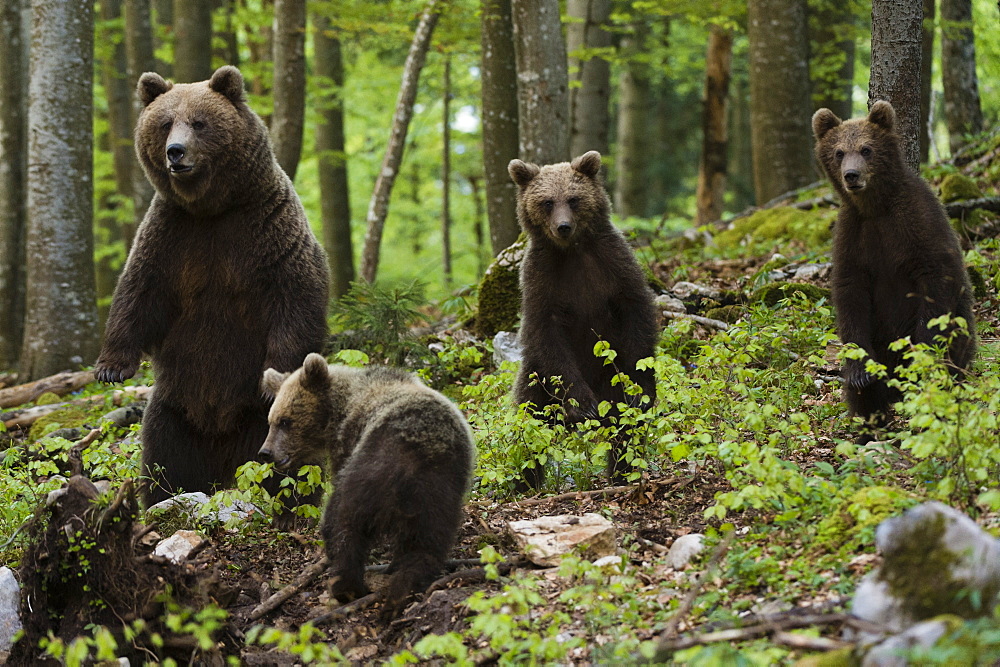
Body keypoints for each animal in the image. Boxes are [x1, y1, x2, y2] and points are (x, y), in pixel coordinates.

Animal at [94, 66, 328, 506]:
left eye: (199, 122)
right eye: (165, 123)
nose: (176, 152)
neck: (211, 209)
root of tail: (223, 456)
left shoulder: (267, 230)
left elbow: (295, 296)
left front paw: (274, 377)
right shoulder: (172, 237)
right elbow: (139, 293)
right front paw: (110, 368)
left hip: (263, 424)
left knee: (290, 466)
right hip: (173, 410)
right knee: (163, 459)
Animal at [508, 151, 656, 486]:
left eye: (573, 199)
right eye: (547, 202)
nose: (563, 226)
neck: (571, 252)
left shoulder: (613, 265)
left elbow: (637, 314)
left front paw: (640, 388)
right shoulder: (541, 280)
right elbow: (545, 331)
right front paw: (583, 404)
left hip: (609, 379)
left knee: (625, 427)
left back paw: (622, 473)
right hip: (537, 379)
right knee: (528, 423)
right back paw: (526, 481)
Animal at [812, 100, 976, 444]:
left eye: (867, 149)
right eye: (838, 151)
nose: (851, 175)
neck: (876, 207)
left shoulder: (918, 224)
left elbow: (936, 280)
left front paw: (921, 352)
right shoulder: (854, 237)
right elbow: (850, 294)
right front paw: (860, 374)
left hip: (961, 333)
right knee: (865, 393)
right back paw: (869, 427)